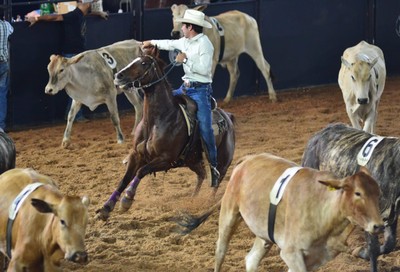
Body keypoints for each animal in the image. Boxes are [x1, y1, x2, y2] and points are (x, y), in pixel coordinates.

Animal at [95, 46, 236, 221]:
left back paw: (207, 202)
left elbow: (141, 171)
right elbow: (124, 179)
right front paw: (105, 208)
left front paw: (127, 199)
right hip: (191, 159)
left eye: (144, 63)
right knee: (202, 174)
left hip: (223, 160)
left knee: (216, 179)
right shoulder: (136, 155)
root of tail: (228, 116)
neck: (156, 121)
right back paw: (192, 199)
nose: (118, 76)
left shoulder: (166, 159)